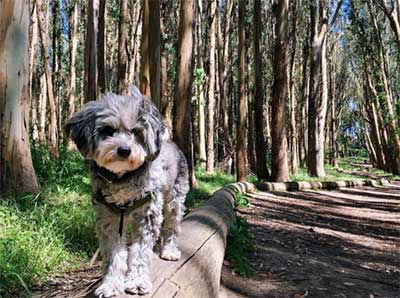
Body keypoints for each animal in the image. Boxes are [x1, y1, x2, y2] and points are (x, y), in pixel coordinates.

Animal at [65, 85, 189, 296]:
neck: (122, 178)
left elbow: (140, 252)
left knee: (172, 225)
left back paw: (169, 250)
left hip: (175, 199)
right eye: (108, 130)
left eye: (136, 131)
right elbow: (113, 255)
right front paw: (110, 284)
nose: (124, 150)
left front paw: (137, 281)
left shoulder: (147, 215)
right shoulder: (109, 218)